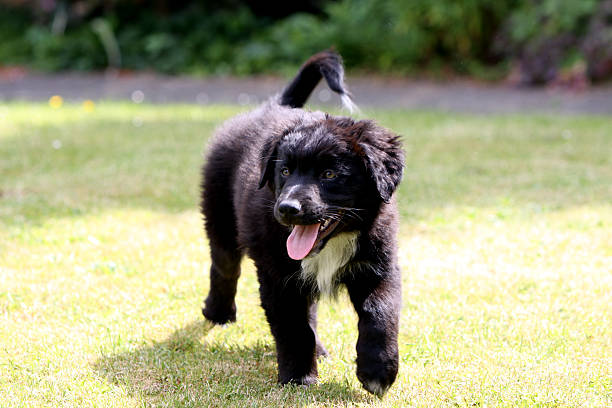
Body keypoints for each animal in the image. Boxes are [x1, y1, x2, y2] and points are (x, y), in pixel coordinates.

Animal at [198, 50, 404, 396]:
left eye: (329, 174)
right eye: (284, 171)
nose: (287, 208)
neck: (333, 243)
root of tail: (272, 108)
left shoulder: (378, 265)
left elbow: (380, 313)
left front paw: (378, 371)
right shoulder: (277, 275)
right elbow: (294, 327)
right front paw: (299, 377)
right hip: (220, 215)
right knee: (224, 267)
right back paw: (219, 314)